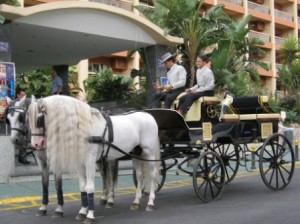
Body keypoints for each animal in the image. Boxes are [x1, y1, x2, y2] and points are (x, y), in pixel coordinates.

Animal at [28, 95, 162, 224]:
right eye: (28, 120)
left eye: (39, 120)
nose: (36, 144)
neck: (82, 128)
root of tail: (148, 115)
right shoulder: (80, 164)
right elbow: (82, 187)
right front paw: (82, 211)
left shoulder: (90, 161)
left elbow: (90, 187)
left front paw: (90, 215)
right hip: (135, 154)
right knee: (139, 176)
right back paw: (136, 202)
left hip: (149, 152)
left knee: (153, 175)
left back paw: (150, 202)